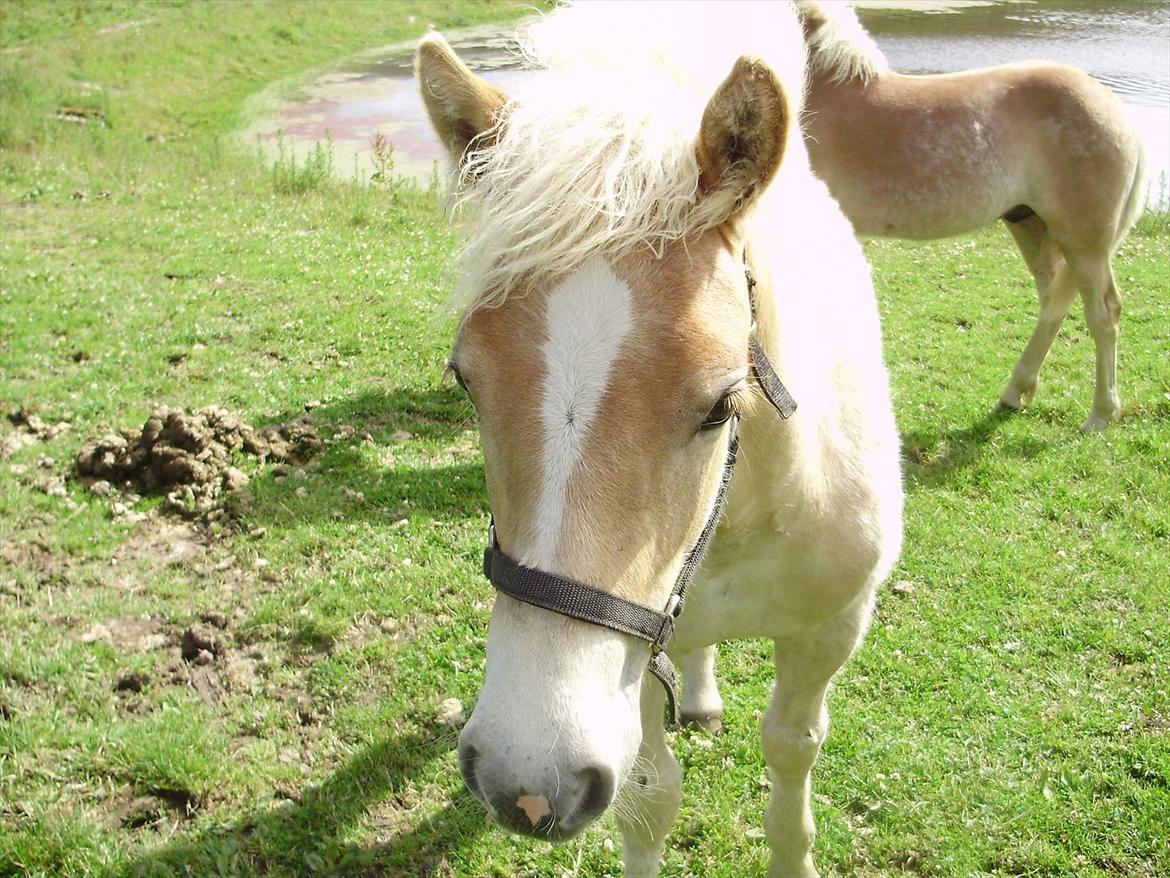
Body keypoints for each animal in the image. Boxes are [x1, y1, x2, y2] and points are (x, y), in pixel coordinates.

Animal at [418, 3, 903, 875]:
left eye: (721, 404)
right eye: (465, 380)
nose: (524, 780)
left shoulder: (831, 630)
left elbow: (792, 750)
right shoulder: (633, 657)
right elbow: (647, 799)